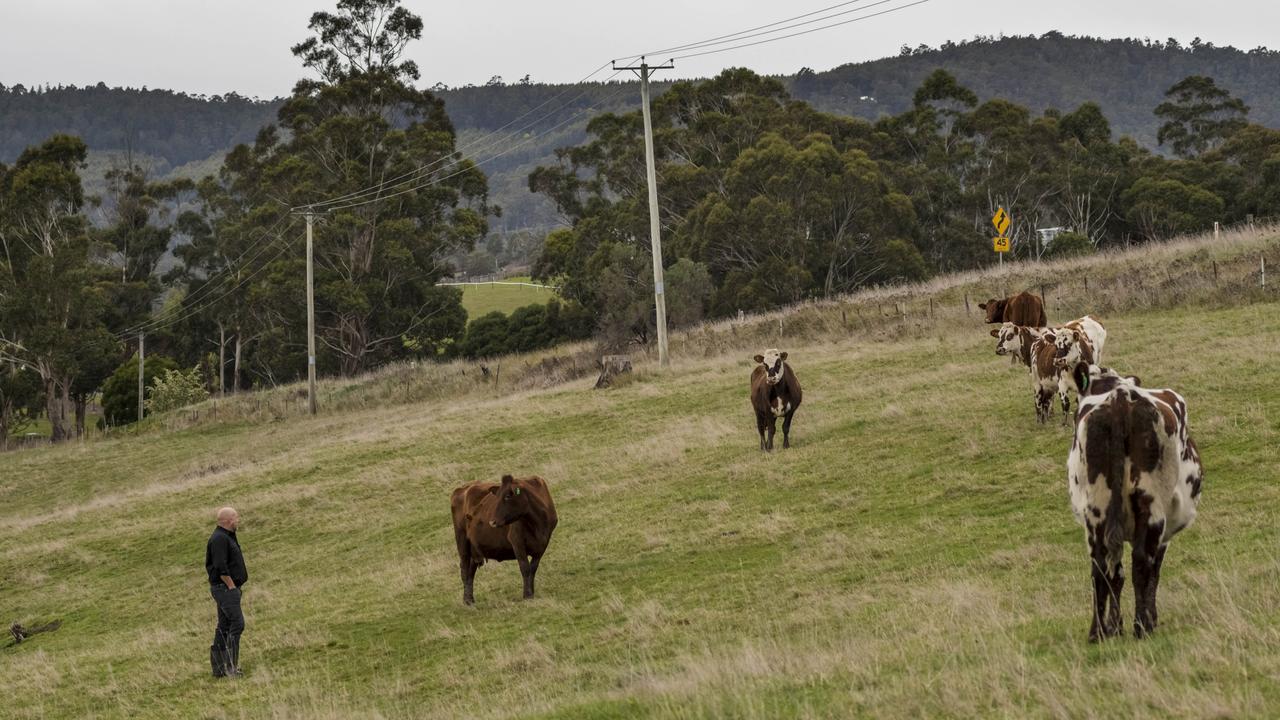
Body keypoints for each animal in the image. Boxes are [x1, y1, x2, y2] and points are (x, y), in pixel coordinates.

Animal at [450, 474, 555, 602]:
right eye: (497, 497)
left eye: (508, 496)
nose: (492, 522)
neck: (538, 524)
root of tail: (463, 488)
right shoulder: (517, 541)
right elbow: (525, 568)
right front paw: (527, 595)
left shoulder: (543, 544)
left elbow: (533, 568)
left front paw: (531, 592)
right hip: (462, 541)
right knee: (464, 569)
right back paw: (467, 601)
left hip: (474, 548)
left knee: (471, 571)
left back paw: (470, 599)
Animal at [1064, 363, 1203, 638]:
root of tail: (1121, 397)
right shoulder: (1165, 533)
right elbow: (1154, 572)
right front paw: (1146, 618)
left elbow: (1116, 573)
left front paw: (1115, 625)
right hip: (1151, 504)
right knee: (1140, 562)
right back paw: (1142, 625)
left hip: (1097, 508)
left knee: (1101, 565)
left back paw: (1098, 631)